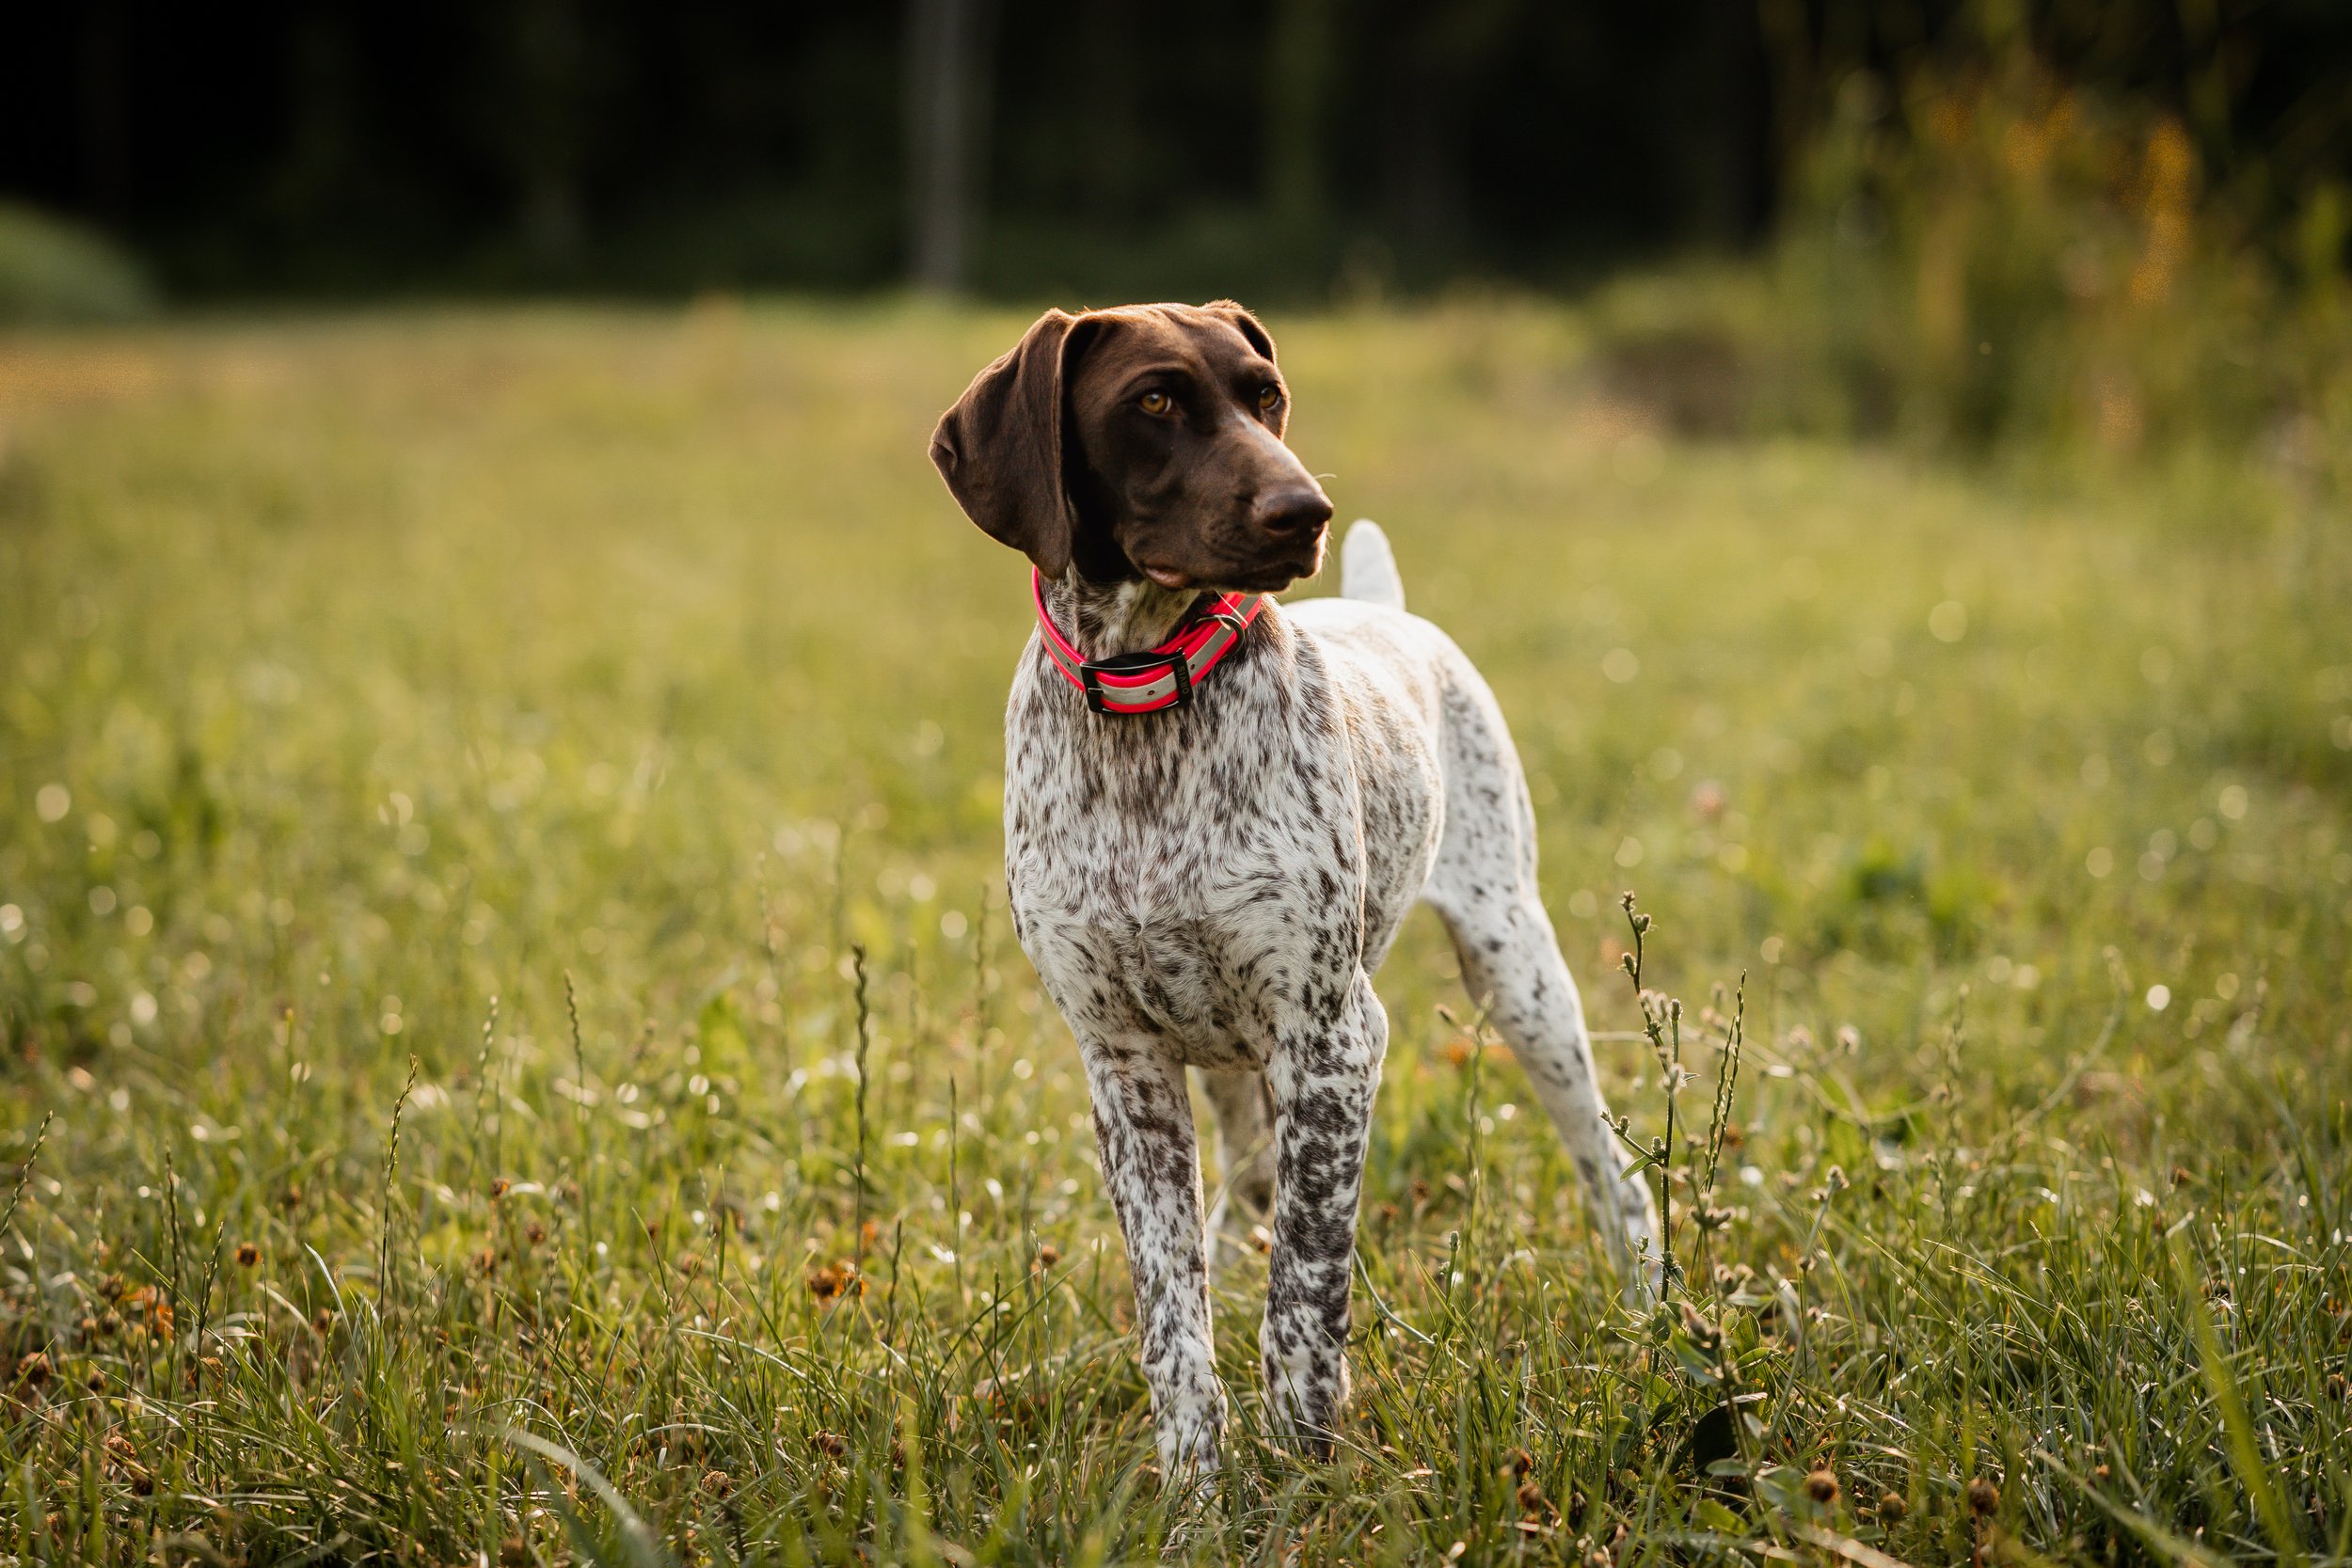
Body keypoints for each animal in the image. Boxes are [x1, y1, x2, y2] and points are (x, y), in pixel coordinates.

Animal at [927, 300, 1665, 1476]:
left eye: (1266, 396)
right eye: (1153, 400)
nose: (1302, 508)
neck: (1144, 708)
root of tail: (1390, 613)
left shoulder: (1330, 1038)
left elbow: (1304, 1297)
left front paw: (1299, 1469)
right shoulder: (1123, 1062)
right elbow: (1172, 1314)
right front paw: (1194, 1482)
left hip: (1519, 973)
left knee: (1611, 1169)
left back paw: (1647, 1310)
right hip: (1227, 1056)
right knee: (1241, 1183)